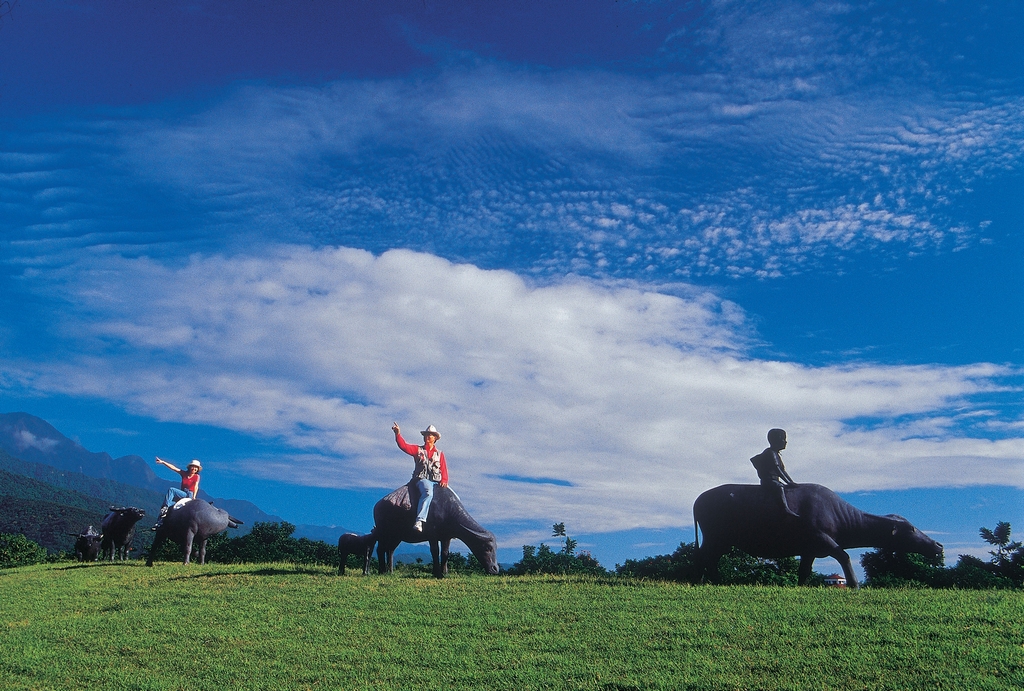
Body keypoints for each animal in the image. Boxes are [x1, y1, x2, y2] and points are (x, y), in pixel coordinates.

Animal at [692, 481, 937, 589]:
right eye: (912, 529)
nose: (938, 545)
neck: (838, 513)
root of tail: (698, 500)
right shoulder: (823, 539)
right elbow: (844, 556)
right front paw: (854, 583)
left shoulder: (809, 550)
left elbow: (804, 570)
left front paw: (801, 585)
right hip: (716, 538)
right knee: (706, 557)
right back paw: (710, 580)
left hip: (720, 541)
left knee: (705, 557)